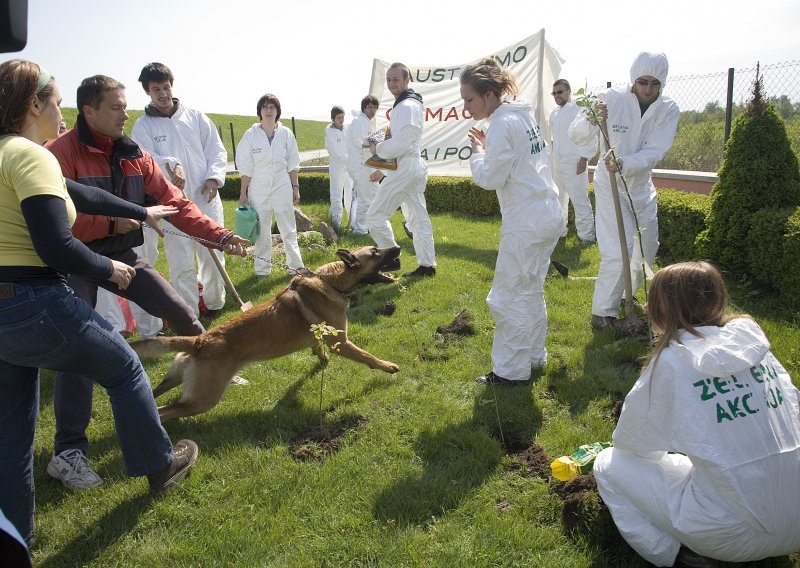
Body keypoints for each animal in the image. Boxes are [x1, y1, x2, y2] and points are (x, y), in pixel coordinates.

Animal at [135, 245, 406, 422]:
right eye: (375, 252)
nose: (398, 247)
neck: (330, 281)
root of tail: (200, 341)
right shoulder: (343, 342)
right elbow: (368, 356)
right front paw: (387, 366)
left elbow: (317, 347)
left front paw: (321, 359)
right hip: (204, 399)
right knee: (165, 410)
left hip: (176, 380)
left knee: (154, 396)